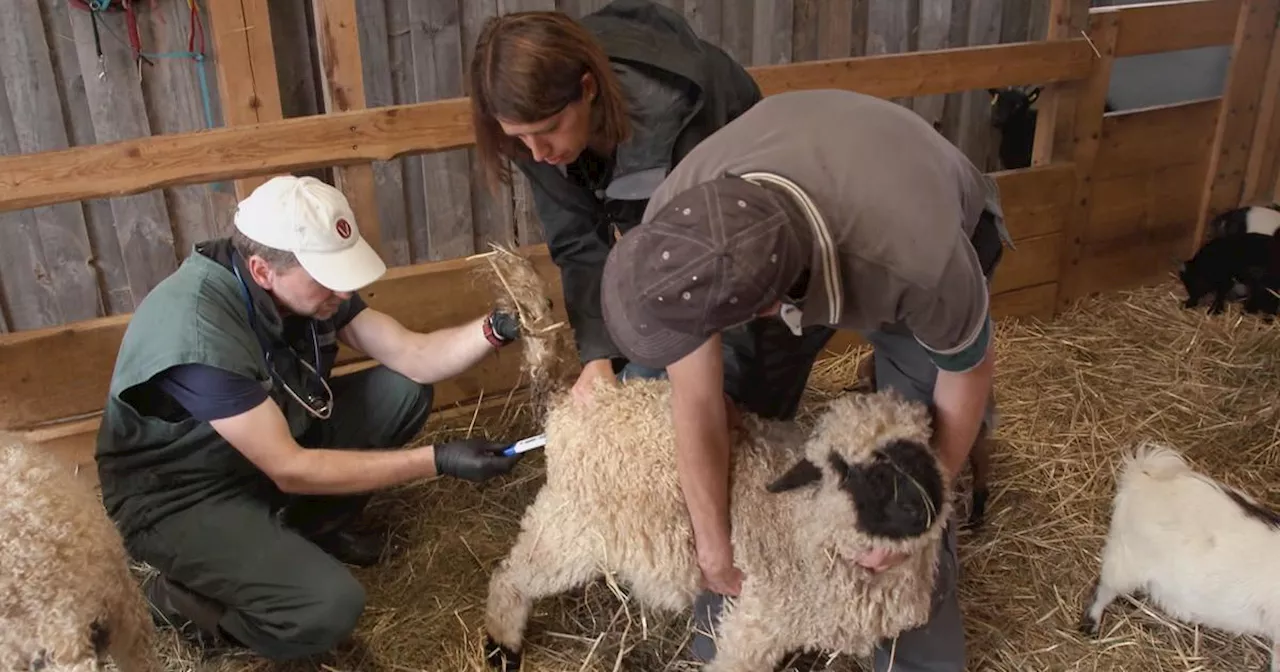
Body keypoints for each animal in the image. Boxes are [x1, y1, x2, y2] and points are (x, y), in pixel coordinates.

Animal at [476, 243, 957, 670]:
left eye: (921, 451)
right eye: (847, 469)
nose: (919, 510)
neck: (807, 525)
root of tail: (570, 404)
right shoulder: (758, 621)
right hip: (569, 526)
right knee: (512, 574)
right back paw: (502, 644)